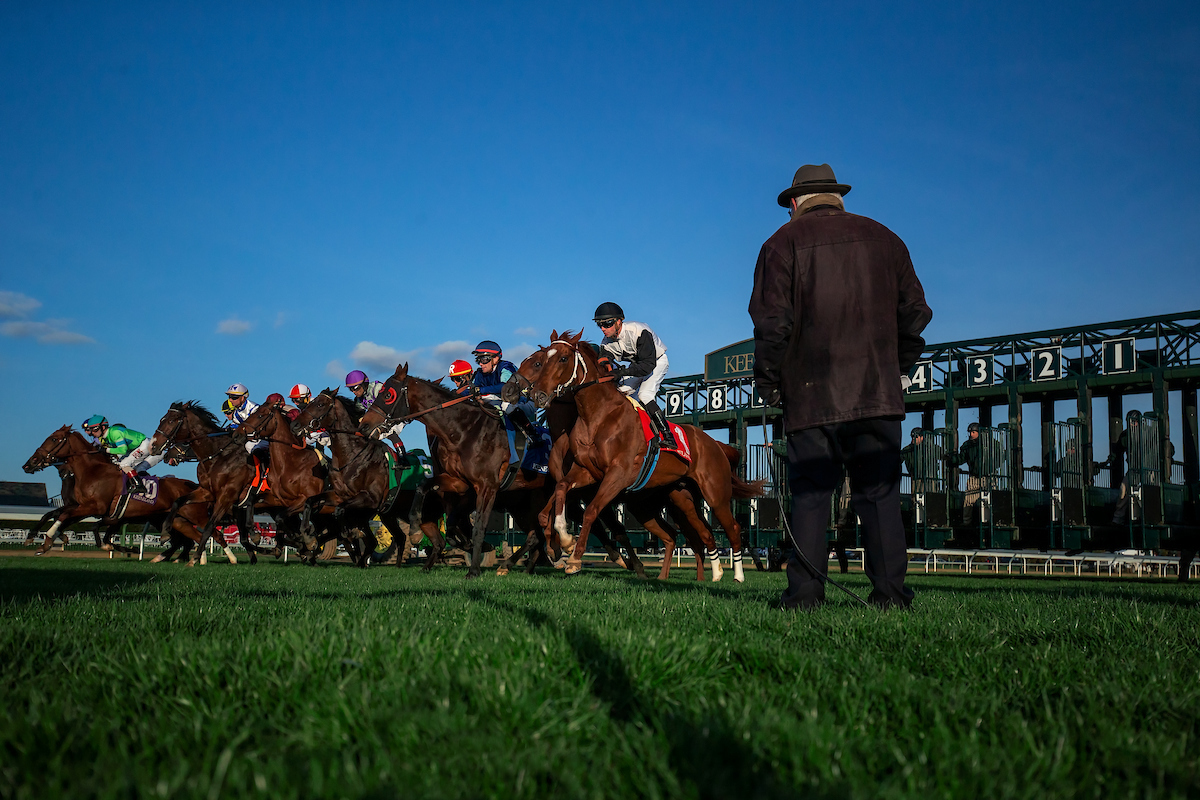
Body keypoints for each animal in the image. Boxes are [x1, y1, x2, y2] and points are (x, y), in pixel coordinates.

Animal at [506, 331, 758, 582]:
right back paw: (713, 574)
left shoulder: (617, 475)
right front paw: (564, 541)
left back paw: (737, 576)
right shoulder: (586, 472)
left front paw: (574, 558)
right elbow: (559, 493)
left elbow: (592, 513)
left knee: (731, 528)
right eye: (543, 360)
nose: (538, 394)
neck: (598, 416)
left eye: (562, 359)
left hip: (715, 494)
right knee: (701, 534)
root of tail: (715, 443)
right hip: (681, 499)